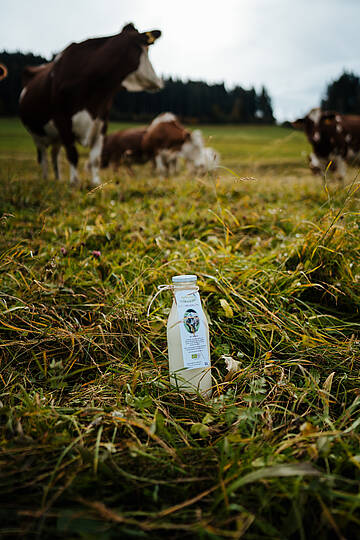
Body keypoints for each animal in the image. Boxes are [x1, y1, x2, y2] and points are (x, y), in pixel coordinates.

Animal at [18, 23, 162, 186]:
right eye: (146, 50)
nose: (159, 82)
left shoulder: (101, 121)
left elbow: (95, 158)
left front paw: (96, 182)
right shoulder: (62, 120)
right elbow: (73, 154)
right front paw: (74, 183)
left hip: (56, 137)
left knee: (55, 154)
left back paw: (58, 179)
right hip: (36, 133)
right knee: (43, 156)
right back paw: (45, 178)